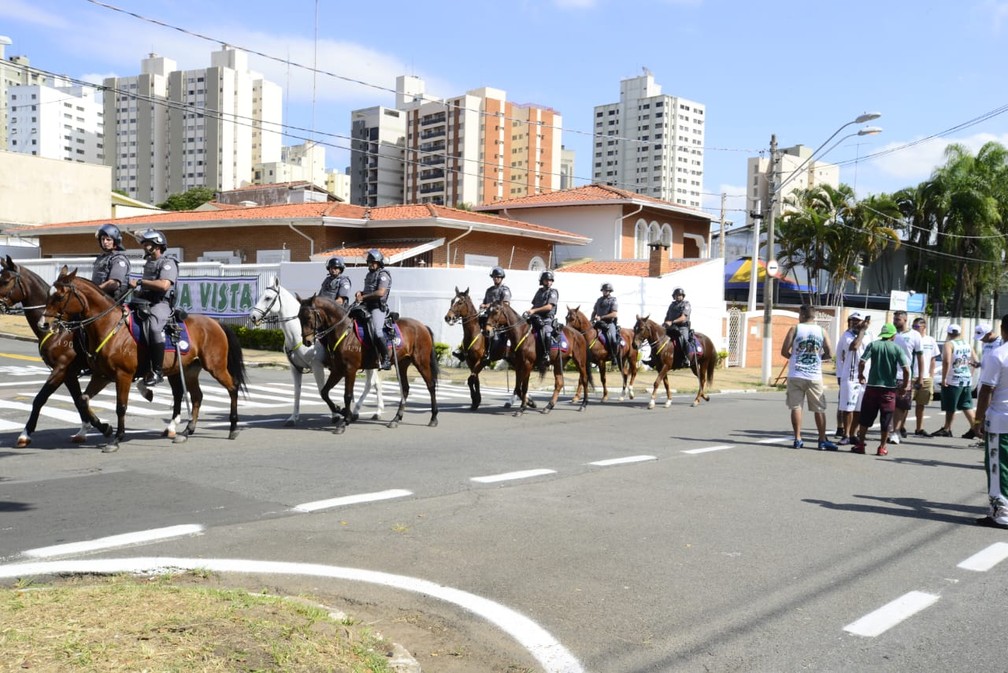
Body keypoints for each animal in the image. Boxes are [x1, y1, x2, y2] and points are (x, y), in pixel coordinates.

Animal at [0, 255, 113, 447]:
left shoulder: (61, 369)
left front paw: (25, 433)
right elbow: (78, 400)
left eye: (6, 280)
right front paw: (91, 428)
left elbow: (40, 399)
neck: (59, 330)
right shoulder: (69, 373)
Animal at [39, 265, 247, 449]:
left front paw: (116, 439)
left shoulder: (123, 375)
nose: (43, 323)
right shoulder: (102, 376)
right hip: (189, 370)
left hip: (215, 366)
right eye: (48, 294)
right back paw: (187, 431)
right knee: (197, 397)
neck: (110, 326)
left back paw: (233, 427)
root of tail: (215, 322)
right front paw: (105, 428)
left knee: (232, 387)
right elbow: (83, 399)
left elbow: (121, 407)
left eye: (59, 296)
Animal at [249, 278, 383, 425]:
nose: (253, 317)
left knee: (372, 384)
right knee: (374, 383)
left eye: (267, 298)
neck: (296, 336)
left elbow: (321, 389)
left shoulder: (317, 366)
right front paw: (293, 417)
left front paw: (335, 414)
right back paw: (368, 411)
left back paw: (371, 412)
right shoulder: (295, 368)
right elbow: (297, 392)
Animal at [298, 294, 441, 431]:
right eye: (299, 317)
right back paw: (396, 419)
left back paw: (433, 417)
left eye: (309, 317)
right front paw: (340, 411)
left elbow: (347, 395)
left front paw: (344, 421)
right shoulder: (338, 370)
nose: (307, 341)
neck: (344, 331)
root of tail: (422, 326)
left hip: (421, 362)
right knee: (405, 389)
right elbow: (324, 392)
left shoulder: (350, 369)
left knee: (430, 385)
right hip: (402, 364)